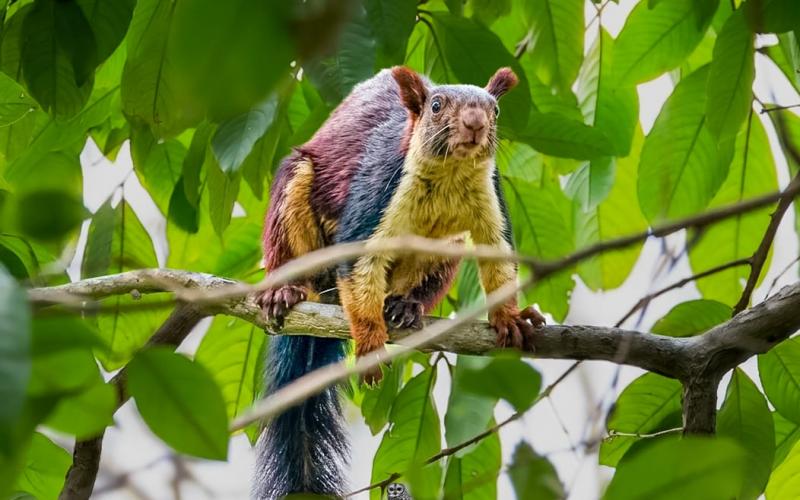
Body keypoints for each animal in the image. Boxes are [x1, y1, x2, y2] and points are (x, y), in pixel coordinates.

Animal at [252, 66, 545, 499]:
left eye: (494, 109)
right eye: (437, 105)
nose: (475, 123)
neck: (451, 175)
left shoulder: (491, 199)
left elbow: (499, 262)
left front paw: (509, 317)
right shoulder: (377, 190)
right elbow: (358, 265)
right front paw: (371, 342)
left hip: (445, 251)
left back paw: (405, 305)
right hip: (295, 194)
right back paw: (286, 289)